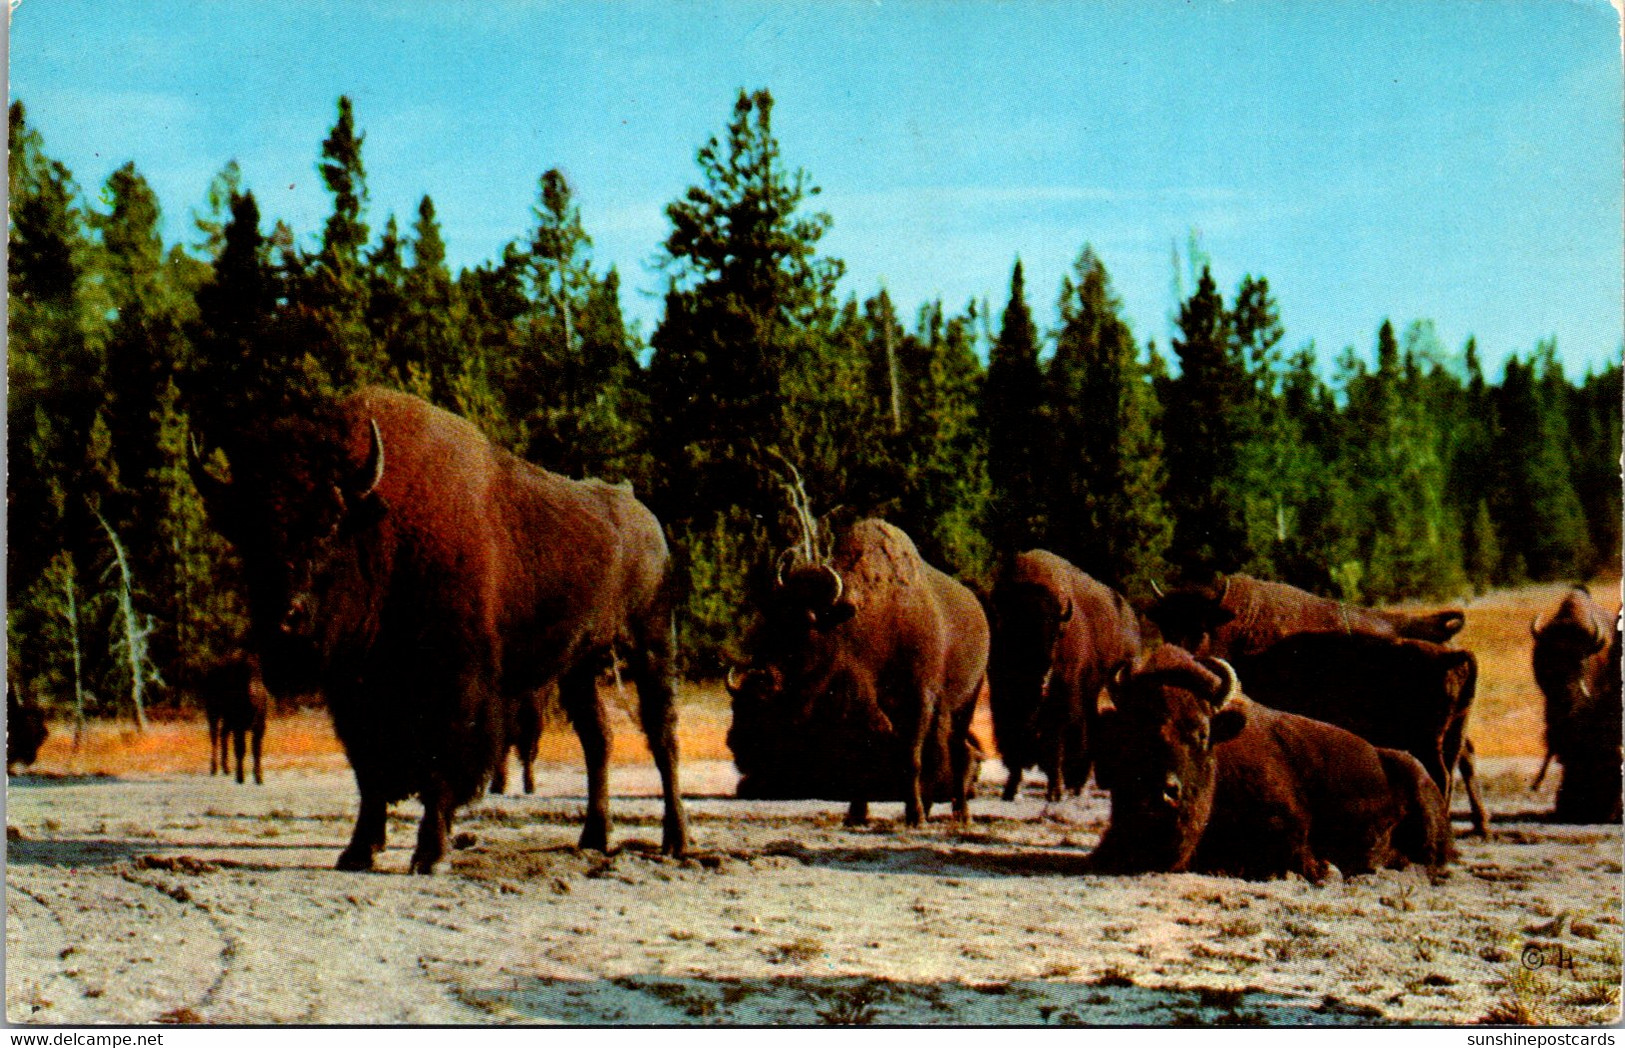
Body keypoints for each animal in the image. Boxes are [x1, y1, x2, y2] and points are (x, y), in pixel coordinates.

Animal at [203, 653, 269, 786]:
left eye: (259, 675)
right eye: (244, 678)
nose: (253, 692)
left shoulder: (259, 727)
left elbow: (256, 750)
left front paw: (259, 778)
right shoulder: (239, 727)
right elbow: (240, 749)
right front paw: (240, 778)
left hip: (227, 720)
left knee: (223, 734)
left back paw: (226, 769)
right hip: (213, 713)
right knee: (214, 737)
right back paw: (214, 769)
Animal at [728, 516, 988, 825]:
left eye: (808, 622)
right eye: (774, 617)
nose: (762, 679)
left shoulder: (918, 701)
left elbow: (911, 759)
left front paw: (914, 816)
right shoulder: (855, 712)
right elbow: (860, 760)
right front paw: (856, 814)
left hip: (966, 702)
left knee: (959, 752)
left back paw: (960, 814)